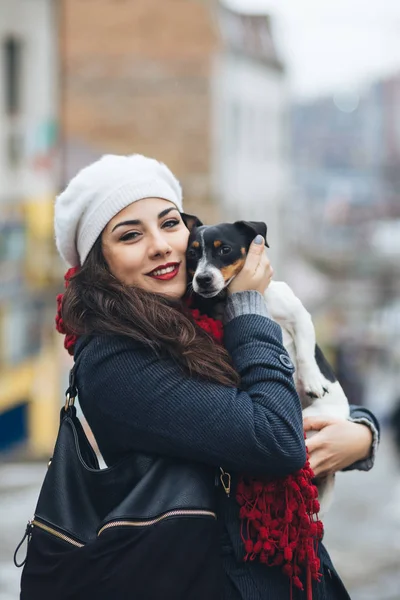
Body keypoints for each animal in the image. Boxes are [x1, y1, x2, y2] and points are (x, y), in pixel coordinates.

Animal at [183, 213, 348, 512]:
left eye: (224, 249)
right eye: (191, 254)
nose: (202, 279)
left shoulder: (300, 316)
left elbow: (305, 353)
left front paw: (313, 380)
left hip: (312, 419)